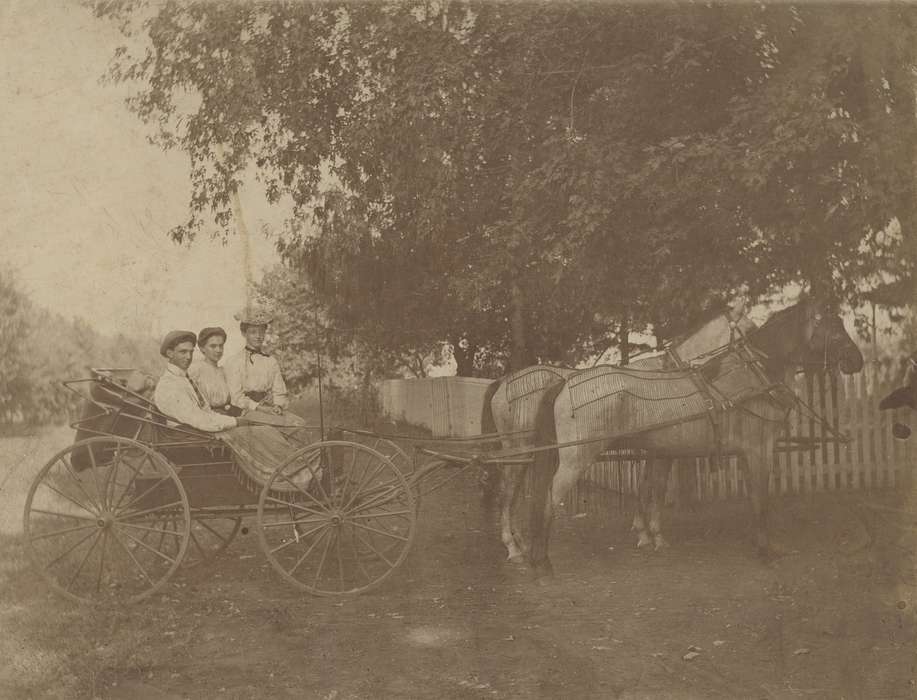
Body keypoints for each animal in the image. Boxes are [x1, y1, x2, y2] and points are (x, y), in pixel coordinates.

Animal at [480, 296, 752, 564]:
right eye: (750, 329)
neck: (670, 375)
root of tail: (504, 382)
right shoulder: (661, 451)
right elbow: (657, 487)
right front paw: (654, 535)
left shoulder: (650, 449)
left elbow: (644, 485)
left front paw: (642, 532)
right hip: (522, 451)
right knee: (508, 492)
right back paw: (513, 547)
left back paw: (518, 542)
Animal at [524, 296, 864, 576]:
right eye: (834, 327)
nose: (857, 361)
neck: (752, 376)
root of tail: (566, 383)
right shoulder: (759, 449)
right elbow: (760, 500)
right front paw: (765, 551)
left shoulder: (688, 452)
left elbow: (658, 489)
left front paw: (651, 536)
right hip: (575, 458)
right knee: (549, 499)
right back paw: (541, 562)